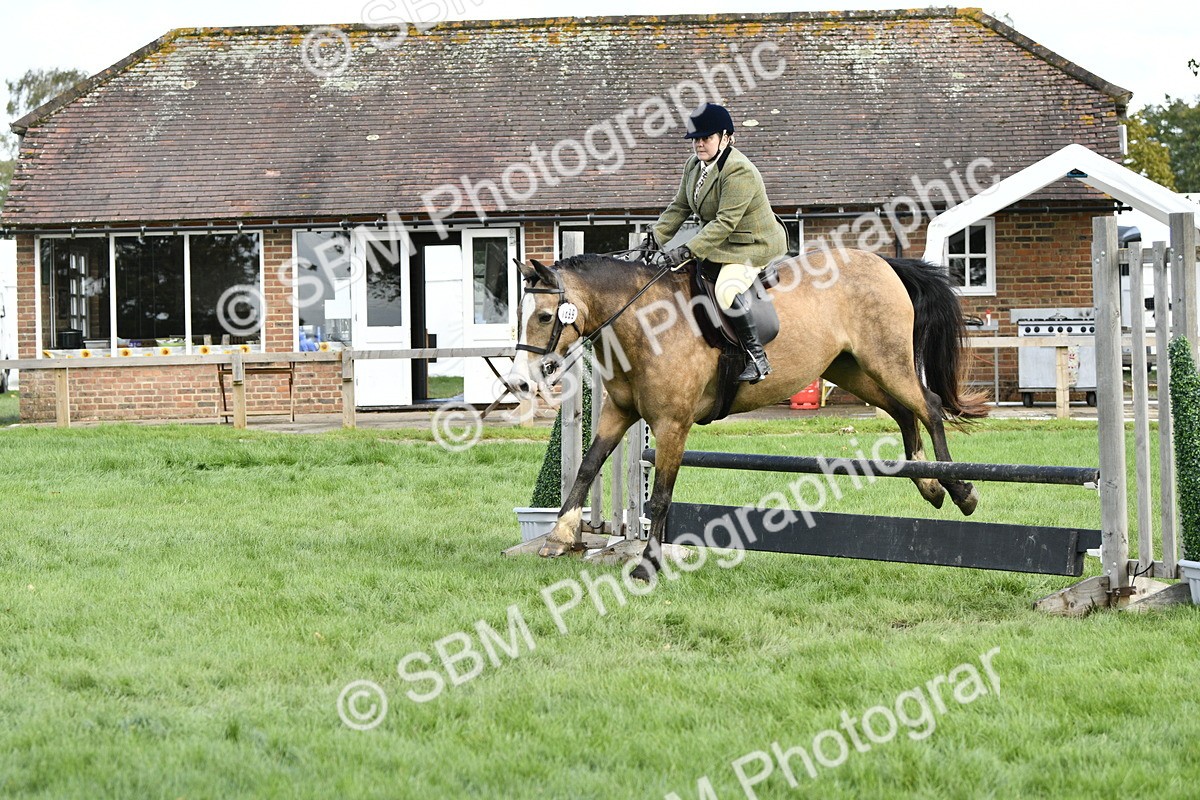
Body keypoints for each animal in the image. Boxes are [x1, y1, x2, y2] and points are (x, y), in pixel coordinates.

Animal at [504, 249, 990, 580]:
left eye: (544, 316)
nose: (519, 383)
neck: (644, 322)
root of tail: (882, 262)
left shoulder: (672, 425)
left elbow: (660, 495)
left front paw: (647, 564)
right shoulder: (619, 413)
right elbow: (587, 466)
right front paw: (560, 537)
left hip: (886, 360)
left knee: (928, 406)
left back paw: (959, 489)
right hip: (851, 367)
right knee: (903, 411)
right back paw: (929, 485)